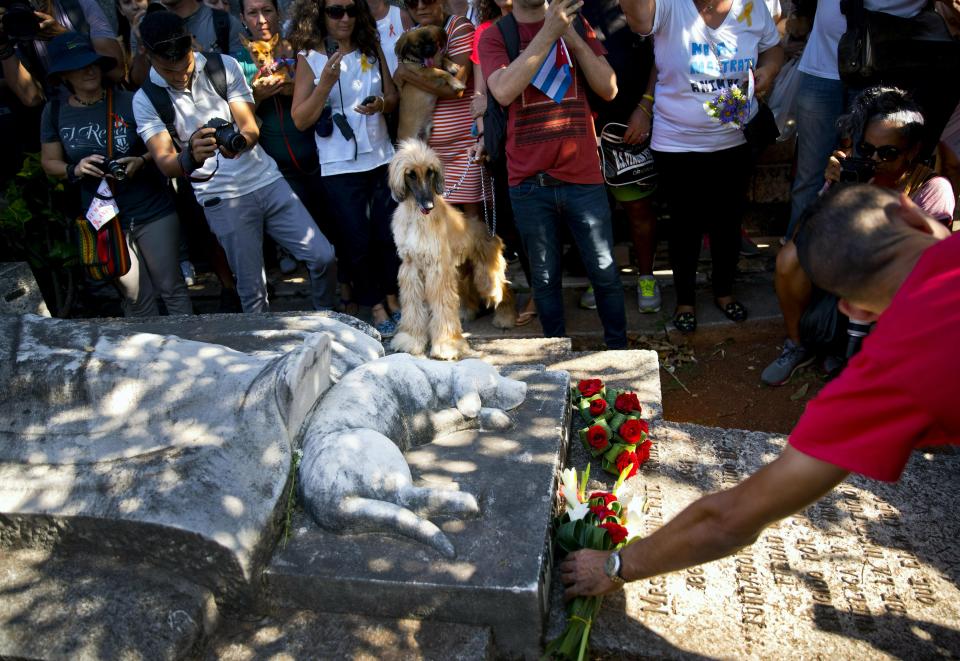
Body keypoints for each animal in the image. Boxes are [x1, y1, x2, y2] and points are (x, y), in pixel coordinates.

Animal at [388, 137, 516, 358]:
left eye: (430, 172)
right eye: (411, 174)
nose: (428, 206)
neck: (417, 217)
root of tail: (488, 229)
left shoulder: (437, 268)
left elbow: (442, 305)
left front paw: (447, 345)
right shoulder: (411, 268)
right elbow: (412, 305)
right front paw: (411, 339)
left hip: (486, 276)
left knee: (502, 290)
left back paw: (506, 318)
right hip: (461, 270)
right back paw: (467, 312)